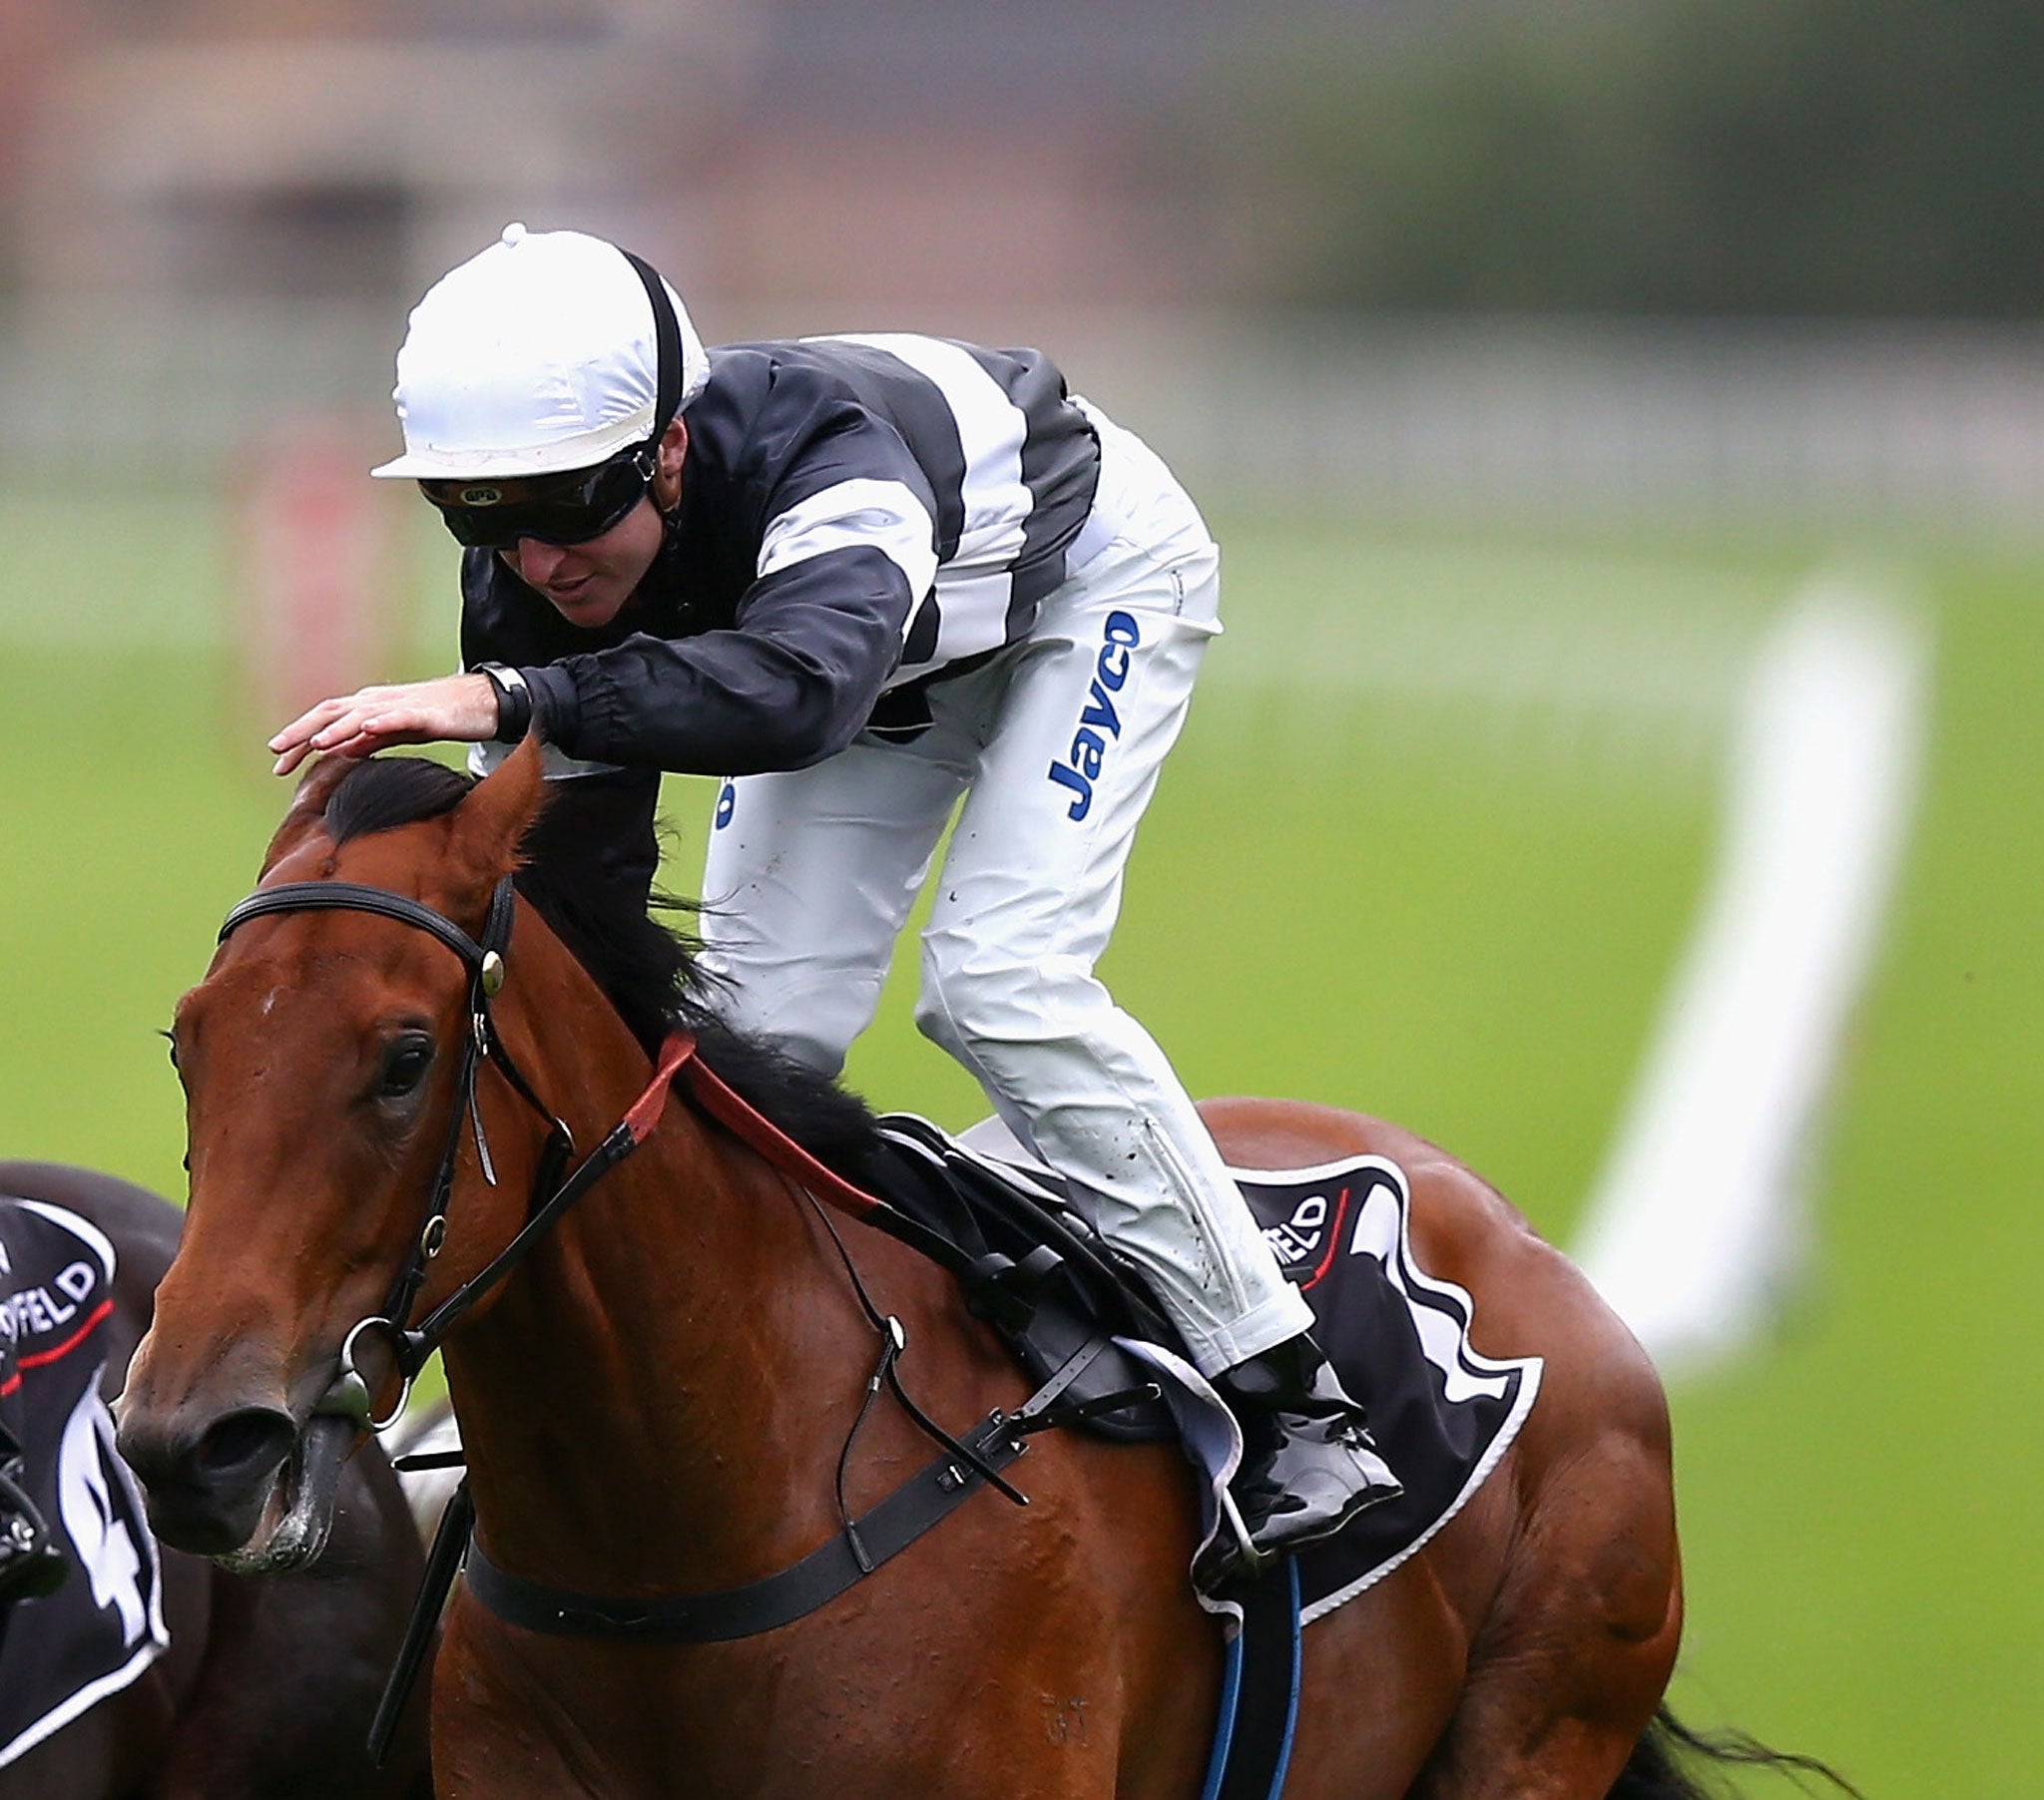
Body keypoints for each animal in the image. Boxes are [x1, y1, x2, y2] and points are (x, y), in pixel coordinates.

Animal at [109, 741, 1811, 1798]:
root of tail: (1519, 1244)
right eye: (187, 1044)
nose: (193, 1444)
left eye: (404, 1058)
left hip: (1542, 1717)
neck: (687, 1537)